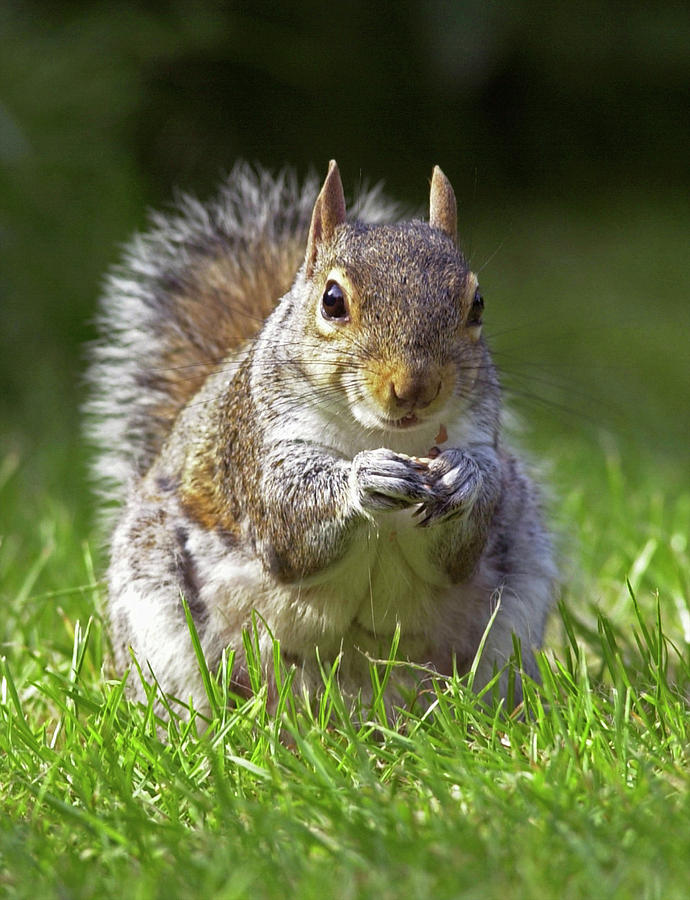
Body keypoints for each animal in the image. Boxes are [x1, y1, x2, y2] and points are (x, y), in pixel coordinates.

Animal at [88, 158, 556, 712]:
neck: (381, 433)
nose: (416, 387)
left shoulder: (479, 437)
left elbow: (459, 551)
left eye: (477, 304)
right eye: (333, 301)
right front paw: (366, 479)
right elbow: (288, 518)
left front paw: (465, 479)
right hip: (160, 618)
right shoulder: (256, 449)